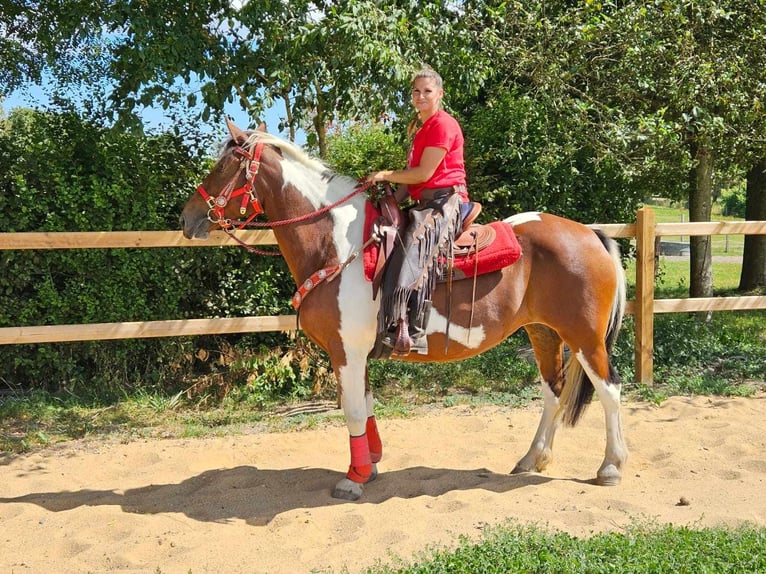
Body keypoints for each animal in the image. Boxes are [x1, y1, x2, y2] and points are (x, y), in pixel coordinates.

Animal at [180, 121, 632, 504]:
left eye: (225, 164)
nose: (188, 218)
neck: (337, 246)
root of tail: (590, 233)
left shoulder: (346, 352)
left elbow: (351, 410)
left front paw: (354, 479)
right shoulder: (356, 353)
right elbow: (364, 405)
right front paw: (370, 464)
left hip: (585, 338)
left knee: (610, 390)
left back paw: (611, 467)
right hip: (544, 332)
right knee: (553, 391)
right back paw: (532, 459)